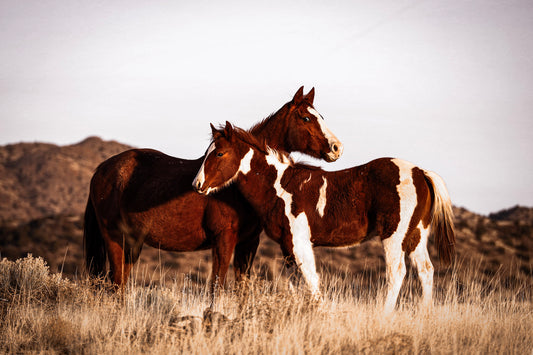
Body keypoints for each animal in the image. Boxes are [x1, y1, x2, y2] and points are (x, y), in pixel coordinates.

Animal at [83, 87, 340, 290]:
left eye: (321, 116)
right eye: (306, 118)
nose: (337, 147)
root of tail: (101, 170)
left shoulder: (248, 243)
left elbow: (242, 290)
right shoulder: (223, 240)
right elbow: (217, 286)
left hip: (132, 245)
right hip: (115, 240)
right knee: (116, 286)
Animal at [193, 122, 456, 312]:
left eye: (219, 153)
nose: (197, 185)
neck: (279, 186)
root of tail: (420, 172)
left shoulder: (300, 243)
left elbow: (312, 281)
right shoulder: (287, 246)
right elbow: (295, 283)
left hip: (394, 236)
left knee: (397, 273)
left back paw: (385, 315)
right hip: (416, 236)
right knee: (426, 270)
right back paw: (424, 315)